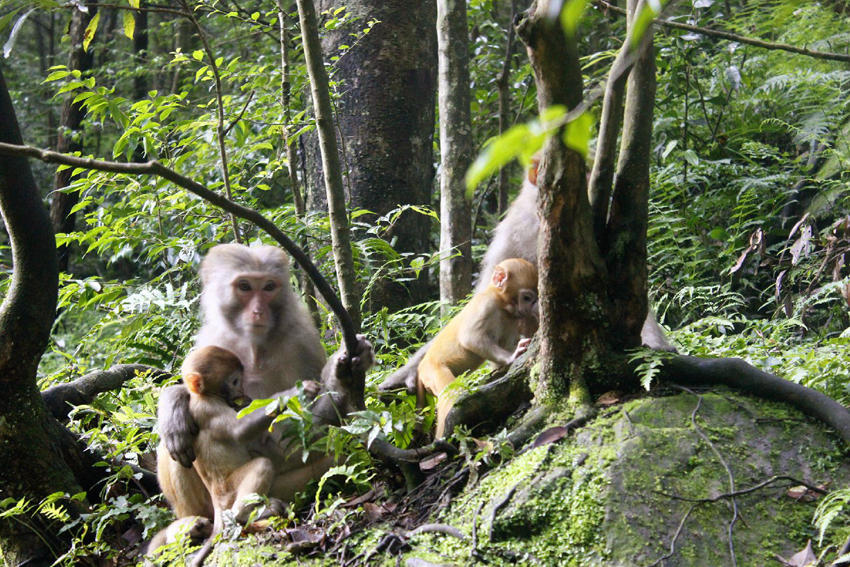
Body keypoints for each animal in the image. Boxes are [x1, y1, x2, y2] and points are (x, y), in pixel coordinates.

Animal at [416, 258, 536, 440]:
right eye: (527, 298)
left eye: (533, 299)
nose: (531, 309)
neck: (502, 306)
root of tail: (421, 368)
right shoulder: (486, 304)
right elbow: (470, 337)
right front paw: (513, 355)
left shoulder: (513, 319)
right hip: (432, 371)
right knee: (452, 395)